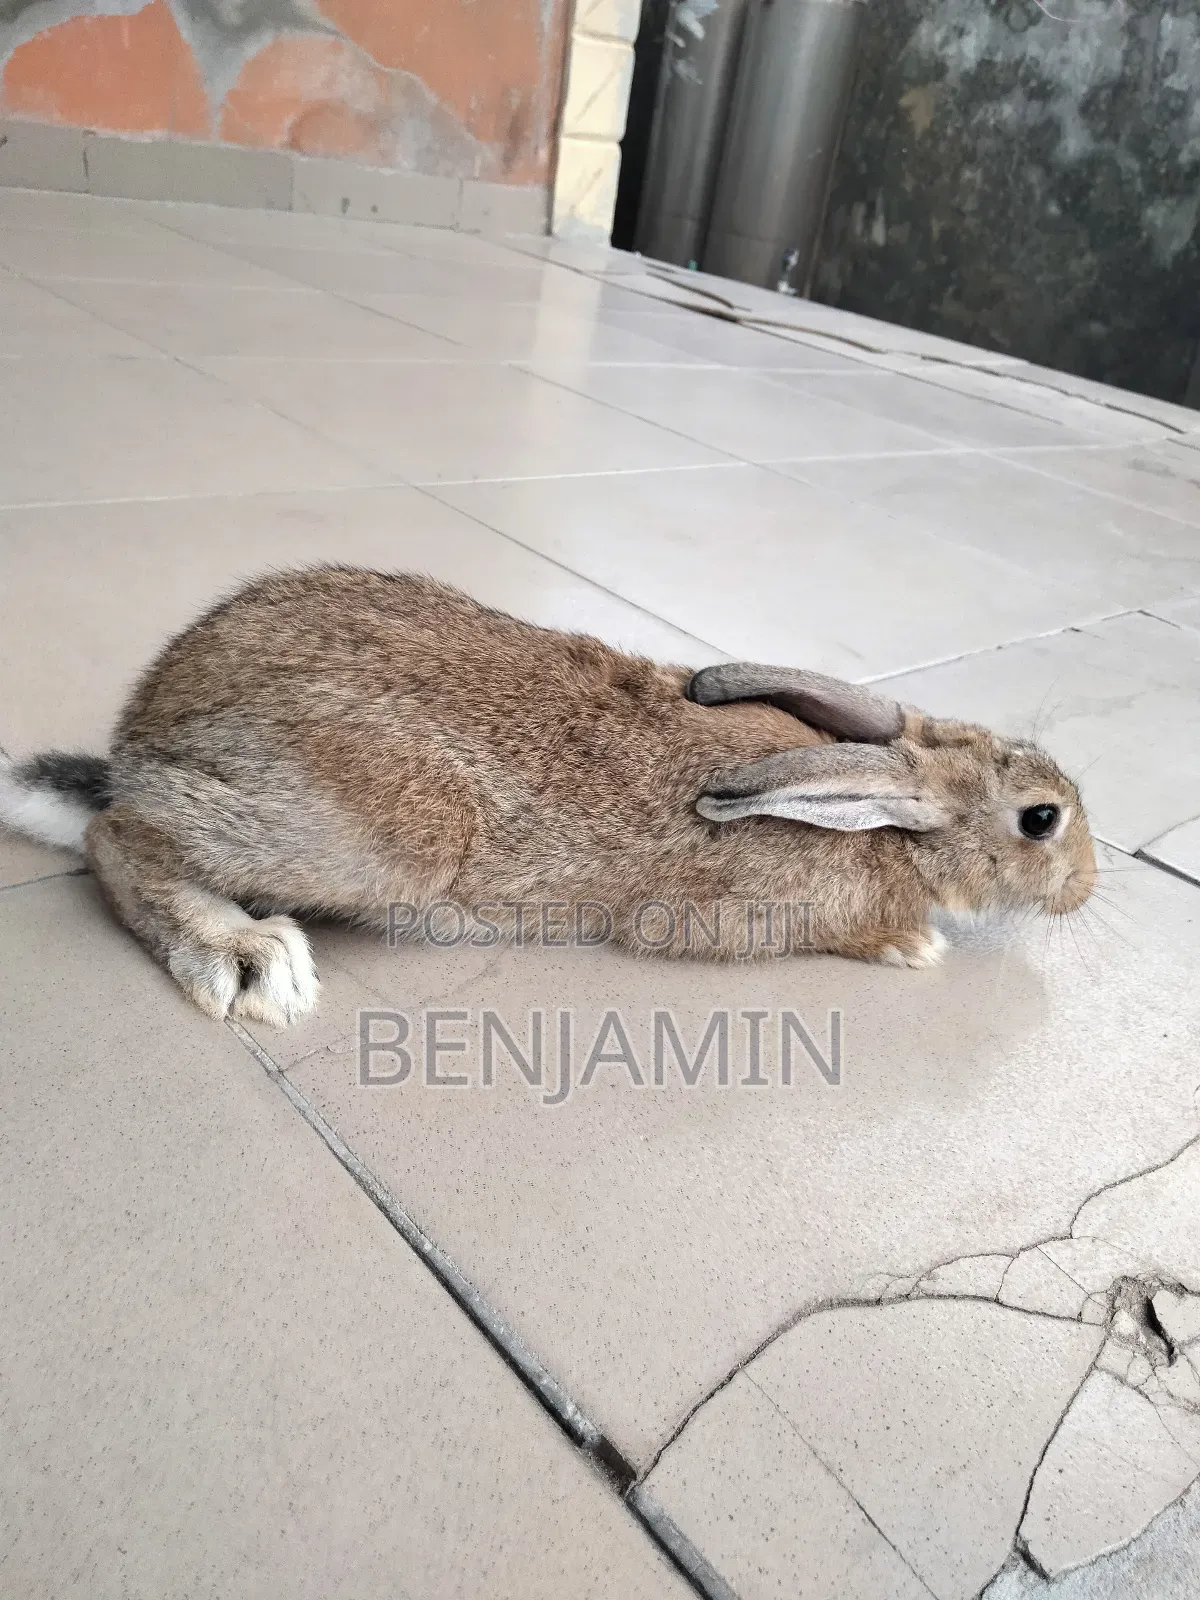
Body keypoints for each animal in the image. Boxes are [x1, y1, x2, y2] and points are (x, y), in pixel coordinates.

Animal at [0, 566, 1096, 1027]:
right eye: (1040, 819)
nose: (1089, 885)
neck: (891, 818)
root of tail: (143, 732)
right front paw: (918, 947)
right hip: (397, 834)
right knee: (116, 834)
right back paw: (246, 957)